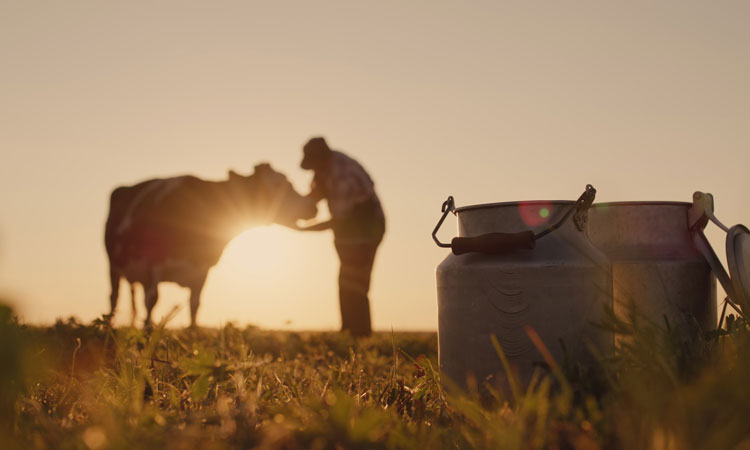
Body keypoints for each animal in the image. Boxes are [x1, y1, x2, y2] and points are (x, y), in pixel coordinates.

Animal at [106, 163, 318, 326]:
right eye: (279, 184)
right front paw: (146, 336)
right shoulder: (153, 264)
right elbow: (152, 302)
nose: (312, 205)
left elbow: (194, 306)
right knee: (114, 298)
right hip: (113, 266)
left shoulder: (202, 270)